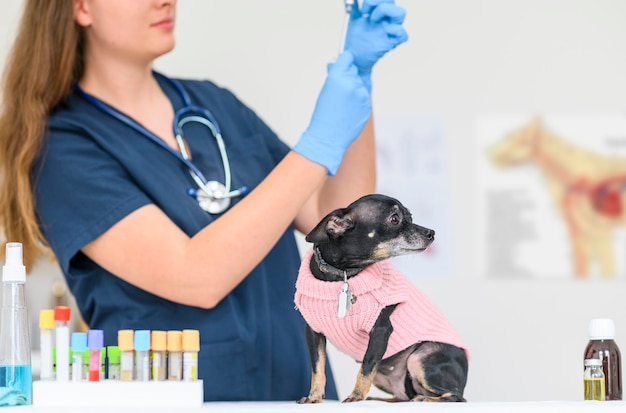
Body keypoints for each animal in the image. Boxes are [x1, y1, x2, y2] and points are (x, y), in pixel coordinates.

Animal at [294, 194, 466, 402]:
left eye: (410, 216)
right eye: (395, 219)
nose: (431, 232)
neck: (343, 274)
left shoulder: (380, 331)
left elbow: (366, 367)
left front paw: (356, 396)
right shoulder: (313, 332)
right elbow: (318, 369)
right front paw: (314, 397)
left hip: (419, 358)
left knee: (456, 396)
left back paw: (424, 399)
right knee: (403, 396)